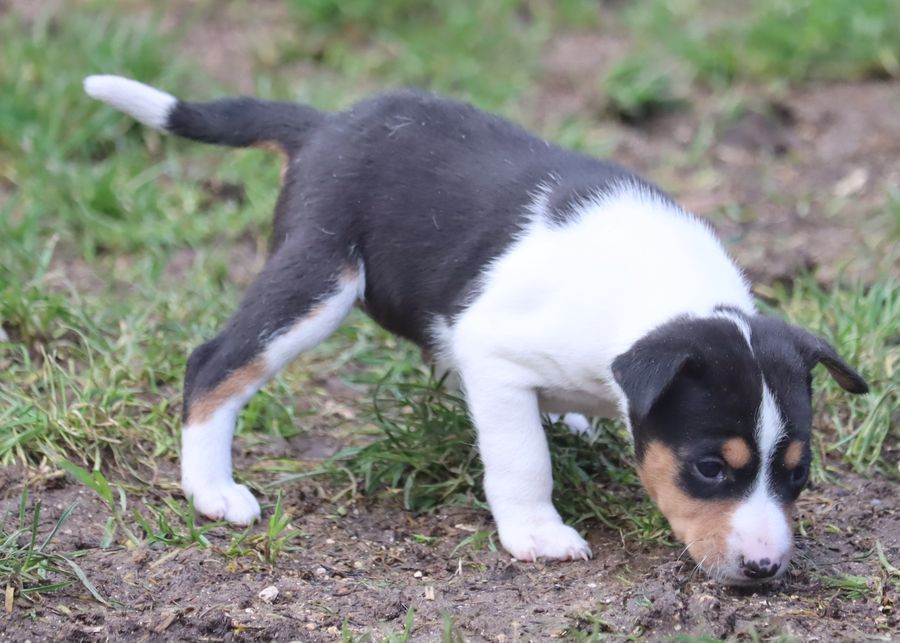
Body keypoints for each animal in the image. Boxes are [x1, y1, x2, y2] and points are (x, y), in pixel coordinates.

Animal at [84, 74, 864, 584]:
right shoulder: (494, 355)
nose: (764, 568)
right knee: (215, 363)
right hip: (318, 277)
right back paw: (212, 489)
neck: (660, 294)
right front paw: (537, 534)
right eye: (709, 468)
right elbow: (522, 460)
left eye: (799, 475)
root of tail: (326, 125)